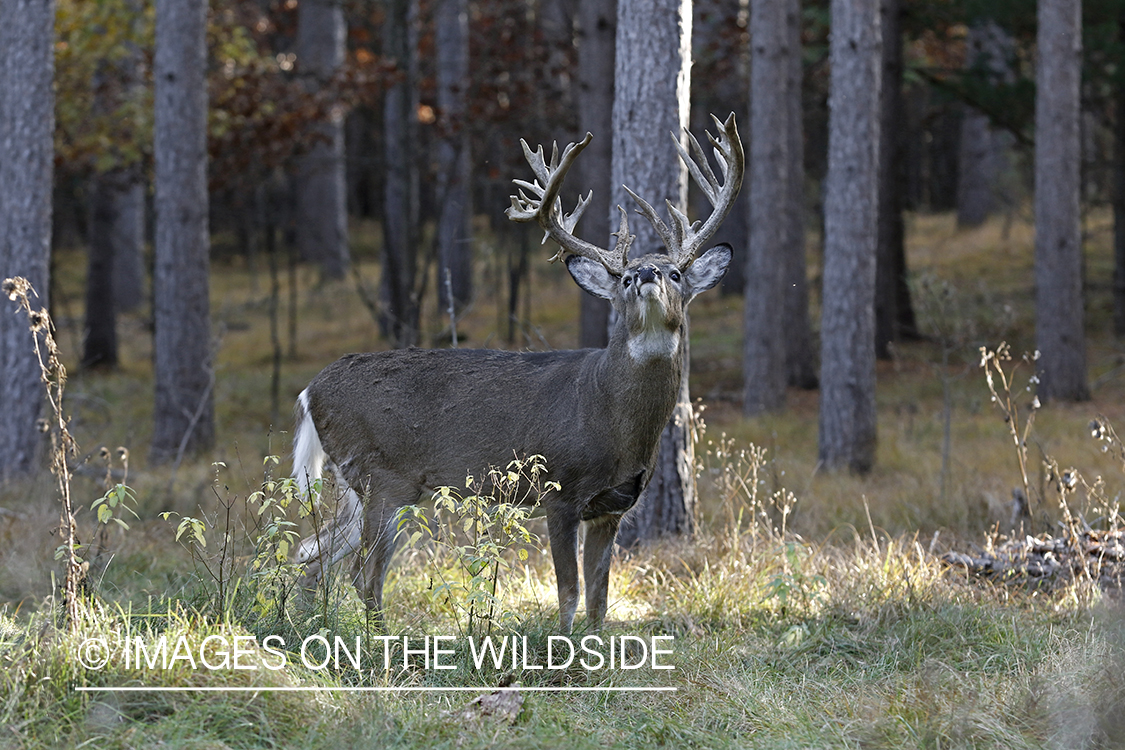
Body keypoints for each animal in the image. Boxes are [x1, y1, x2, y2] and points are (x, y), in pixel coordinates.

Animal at [294, 113, 742, 634]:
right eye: (626, 279)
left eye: (676, 274)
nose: (647, 274)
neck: (610, 417)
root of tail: (309, 390)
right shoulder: (559, 489)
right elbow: (568, 592)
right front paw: (562, 653)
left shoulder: (612, 508)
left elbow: (599, 599)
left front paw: (596, 651)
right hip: (382, 477)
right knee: (363, 574)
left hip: (361, 486)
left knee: (311, 554)